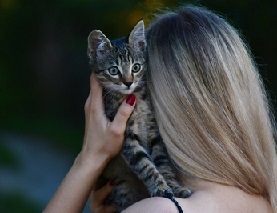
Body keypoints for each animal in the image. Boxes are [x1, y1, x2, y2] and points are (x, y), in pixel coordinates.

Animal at [87, 19, 191, 211]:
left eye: (136, 67)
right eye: (114, 70)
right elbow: (145, 164)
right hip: (121, 187)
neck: (136, 100)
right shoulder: (126, 137)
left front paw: (174, 187)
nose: (128, 82)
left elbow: (163, 162)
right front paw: (161, 188)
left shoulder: (154, 132)